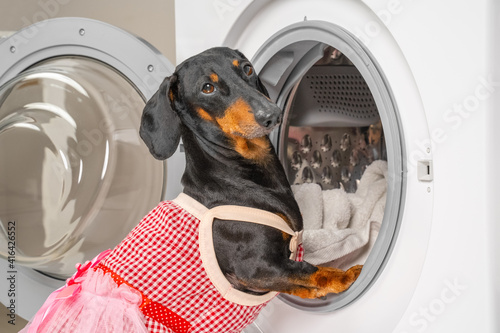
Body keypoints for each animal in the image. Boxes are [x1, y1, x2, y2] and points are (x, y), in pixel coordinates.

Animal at [141, 46, 364, 298]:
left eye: (247, 68)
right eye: (207, 88)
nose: (272, 114)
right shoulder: (254, 269)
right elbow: (308, 269)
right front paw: (345, 275)